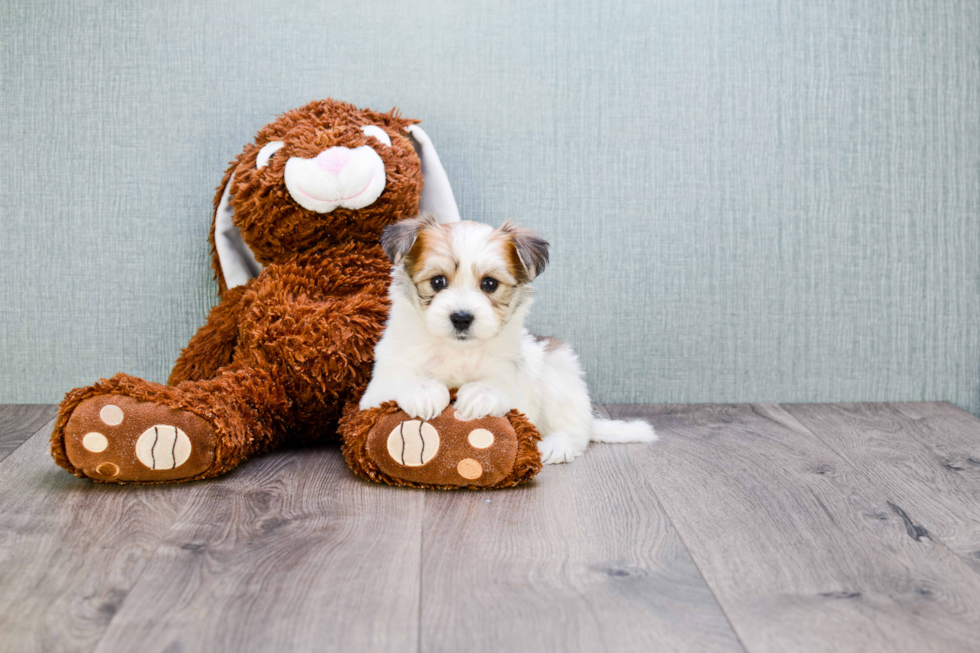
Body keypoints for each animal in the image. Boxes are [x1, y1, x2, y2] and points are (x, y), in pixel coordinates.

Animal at [360, 216, 660, 460]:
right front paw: (423, 391)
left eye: (489, 284)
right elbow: (399, 380)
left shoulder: (515, 380)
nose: (461, 317)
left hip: (558, 372)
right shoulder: (375, 390)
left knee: (575, 430)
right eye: (437, 282)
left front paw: (481, 393)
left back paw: (556, 446)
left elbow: (501, 386)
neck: (457, 349)